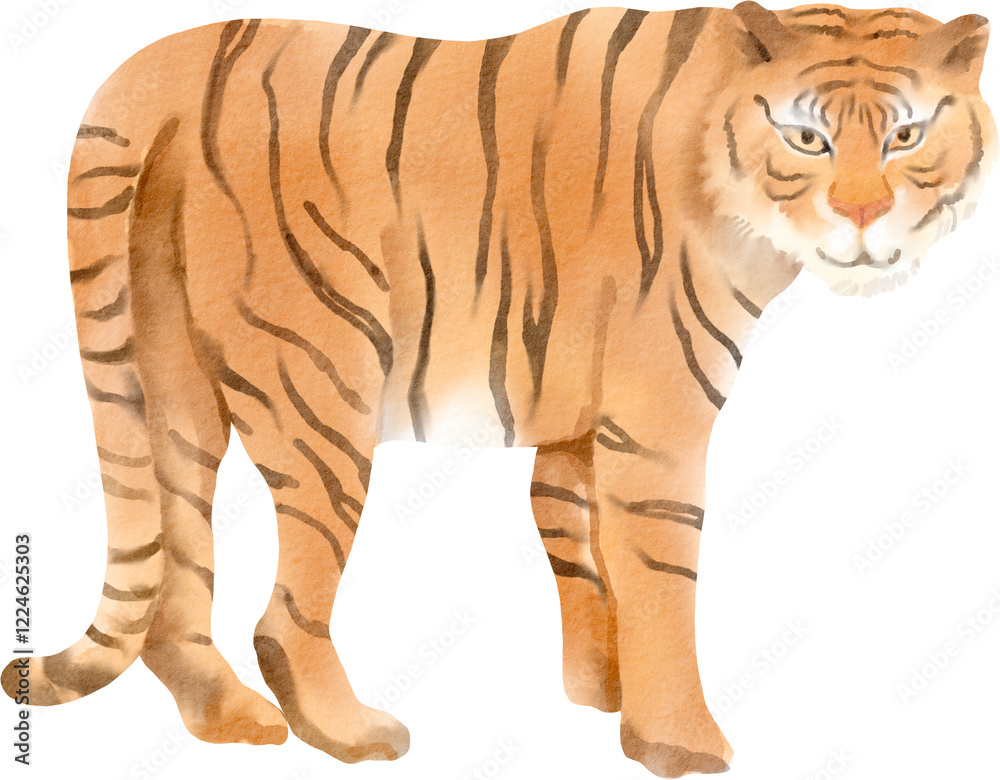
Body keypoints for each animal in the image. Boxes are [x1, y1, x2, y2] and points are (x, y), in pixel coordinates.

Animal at [1, 2, 994, 777]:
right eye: (806, 137)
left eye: (906, 136)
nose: (861, 213)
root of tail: (167, 63)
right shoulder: (659, 418)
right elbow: (661, 574)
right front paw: (678, 742)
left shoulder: (579, 412)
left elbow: (574, 536)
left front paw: (601, 690)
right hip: (322, 379)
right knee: (285, 611)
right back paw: (347, 733)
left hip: (166, 382)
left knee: (176, 560)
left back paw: (227, 718)